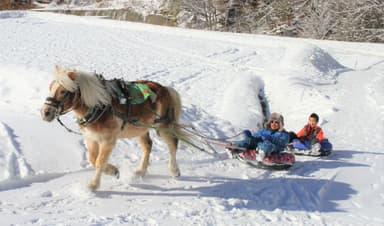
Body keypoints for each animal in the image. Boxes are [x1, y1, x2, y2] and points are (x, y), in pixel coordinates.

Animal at [41, 64, 190, 192]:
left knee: (172, 144)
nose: (45, 113)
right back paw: (140, 171)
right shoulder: (91, 138)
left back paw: (174, 170)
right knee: (148, 145)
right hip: (140, 128)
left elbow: (100, 161)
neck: (100, 106)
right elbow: (93, 159)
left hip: (163, 126)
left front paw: (93, 185)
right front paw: (113, 171)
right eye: (50, 87)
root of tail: (165, 88)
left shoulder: (108, 140)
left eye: (63, 91)